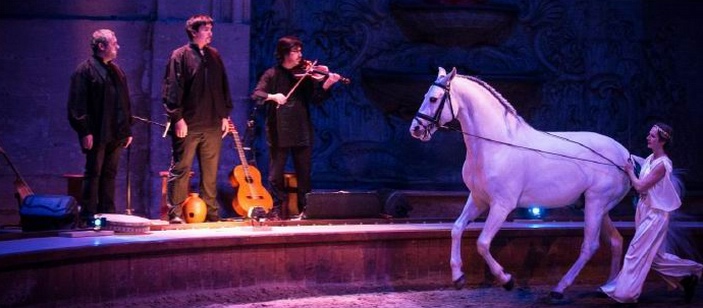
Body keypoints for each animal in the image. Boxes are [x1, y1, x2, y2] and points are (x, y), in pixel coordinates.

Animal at [408, 68, 632, 300]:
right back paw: (608, 288)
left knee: (590, 246)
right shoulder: (478, 199)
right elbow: (457, 228)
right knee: (616, 240)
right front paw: (458, 277)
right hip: (596, 207)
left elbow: (482, 243)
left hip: (596, 203)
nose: (415, 129)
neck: (496, 145)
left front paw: (507, 280)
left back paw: (560, 289)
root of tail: (625, 155)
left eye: (433, 99)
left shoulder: (502, 205)